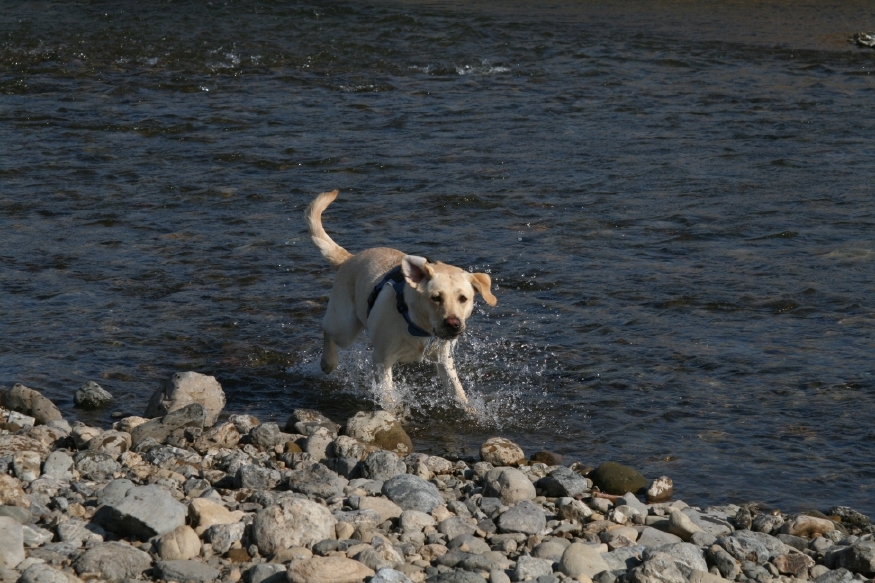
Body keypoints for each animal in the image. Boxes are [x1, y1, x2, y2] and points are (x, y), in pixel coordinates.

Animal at [308, 190, 500, 410]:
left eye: (463, 298)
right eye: (436, 298)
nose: (453, 324)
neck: (418, 326)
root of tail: (349, 258)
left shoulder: (444, 359)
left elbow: (457, 391)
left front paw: (470, 409)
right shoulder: (382, 359)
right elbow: (387, 394)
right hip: (344, 326)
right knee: (327, 329)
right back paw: (328, 361)